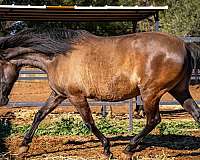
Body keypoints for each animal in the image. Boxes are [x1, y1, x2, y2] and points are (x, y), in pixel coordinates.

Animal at [0, 29, 200, 159]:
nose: (2, 100)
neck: (57, 57)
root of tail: (184, 45)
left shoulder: (76, 96)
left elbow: (89, 122)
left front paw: (107, 149)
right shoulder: (58, 94)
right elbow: (39, 114)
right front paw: (23, 147)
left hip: (150, 93)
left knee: (154, 120)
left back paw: (129, 148)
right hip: (179, 90)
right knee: (196, 114)